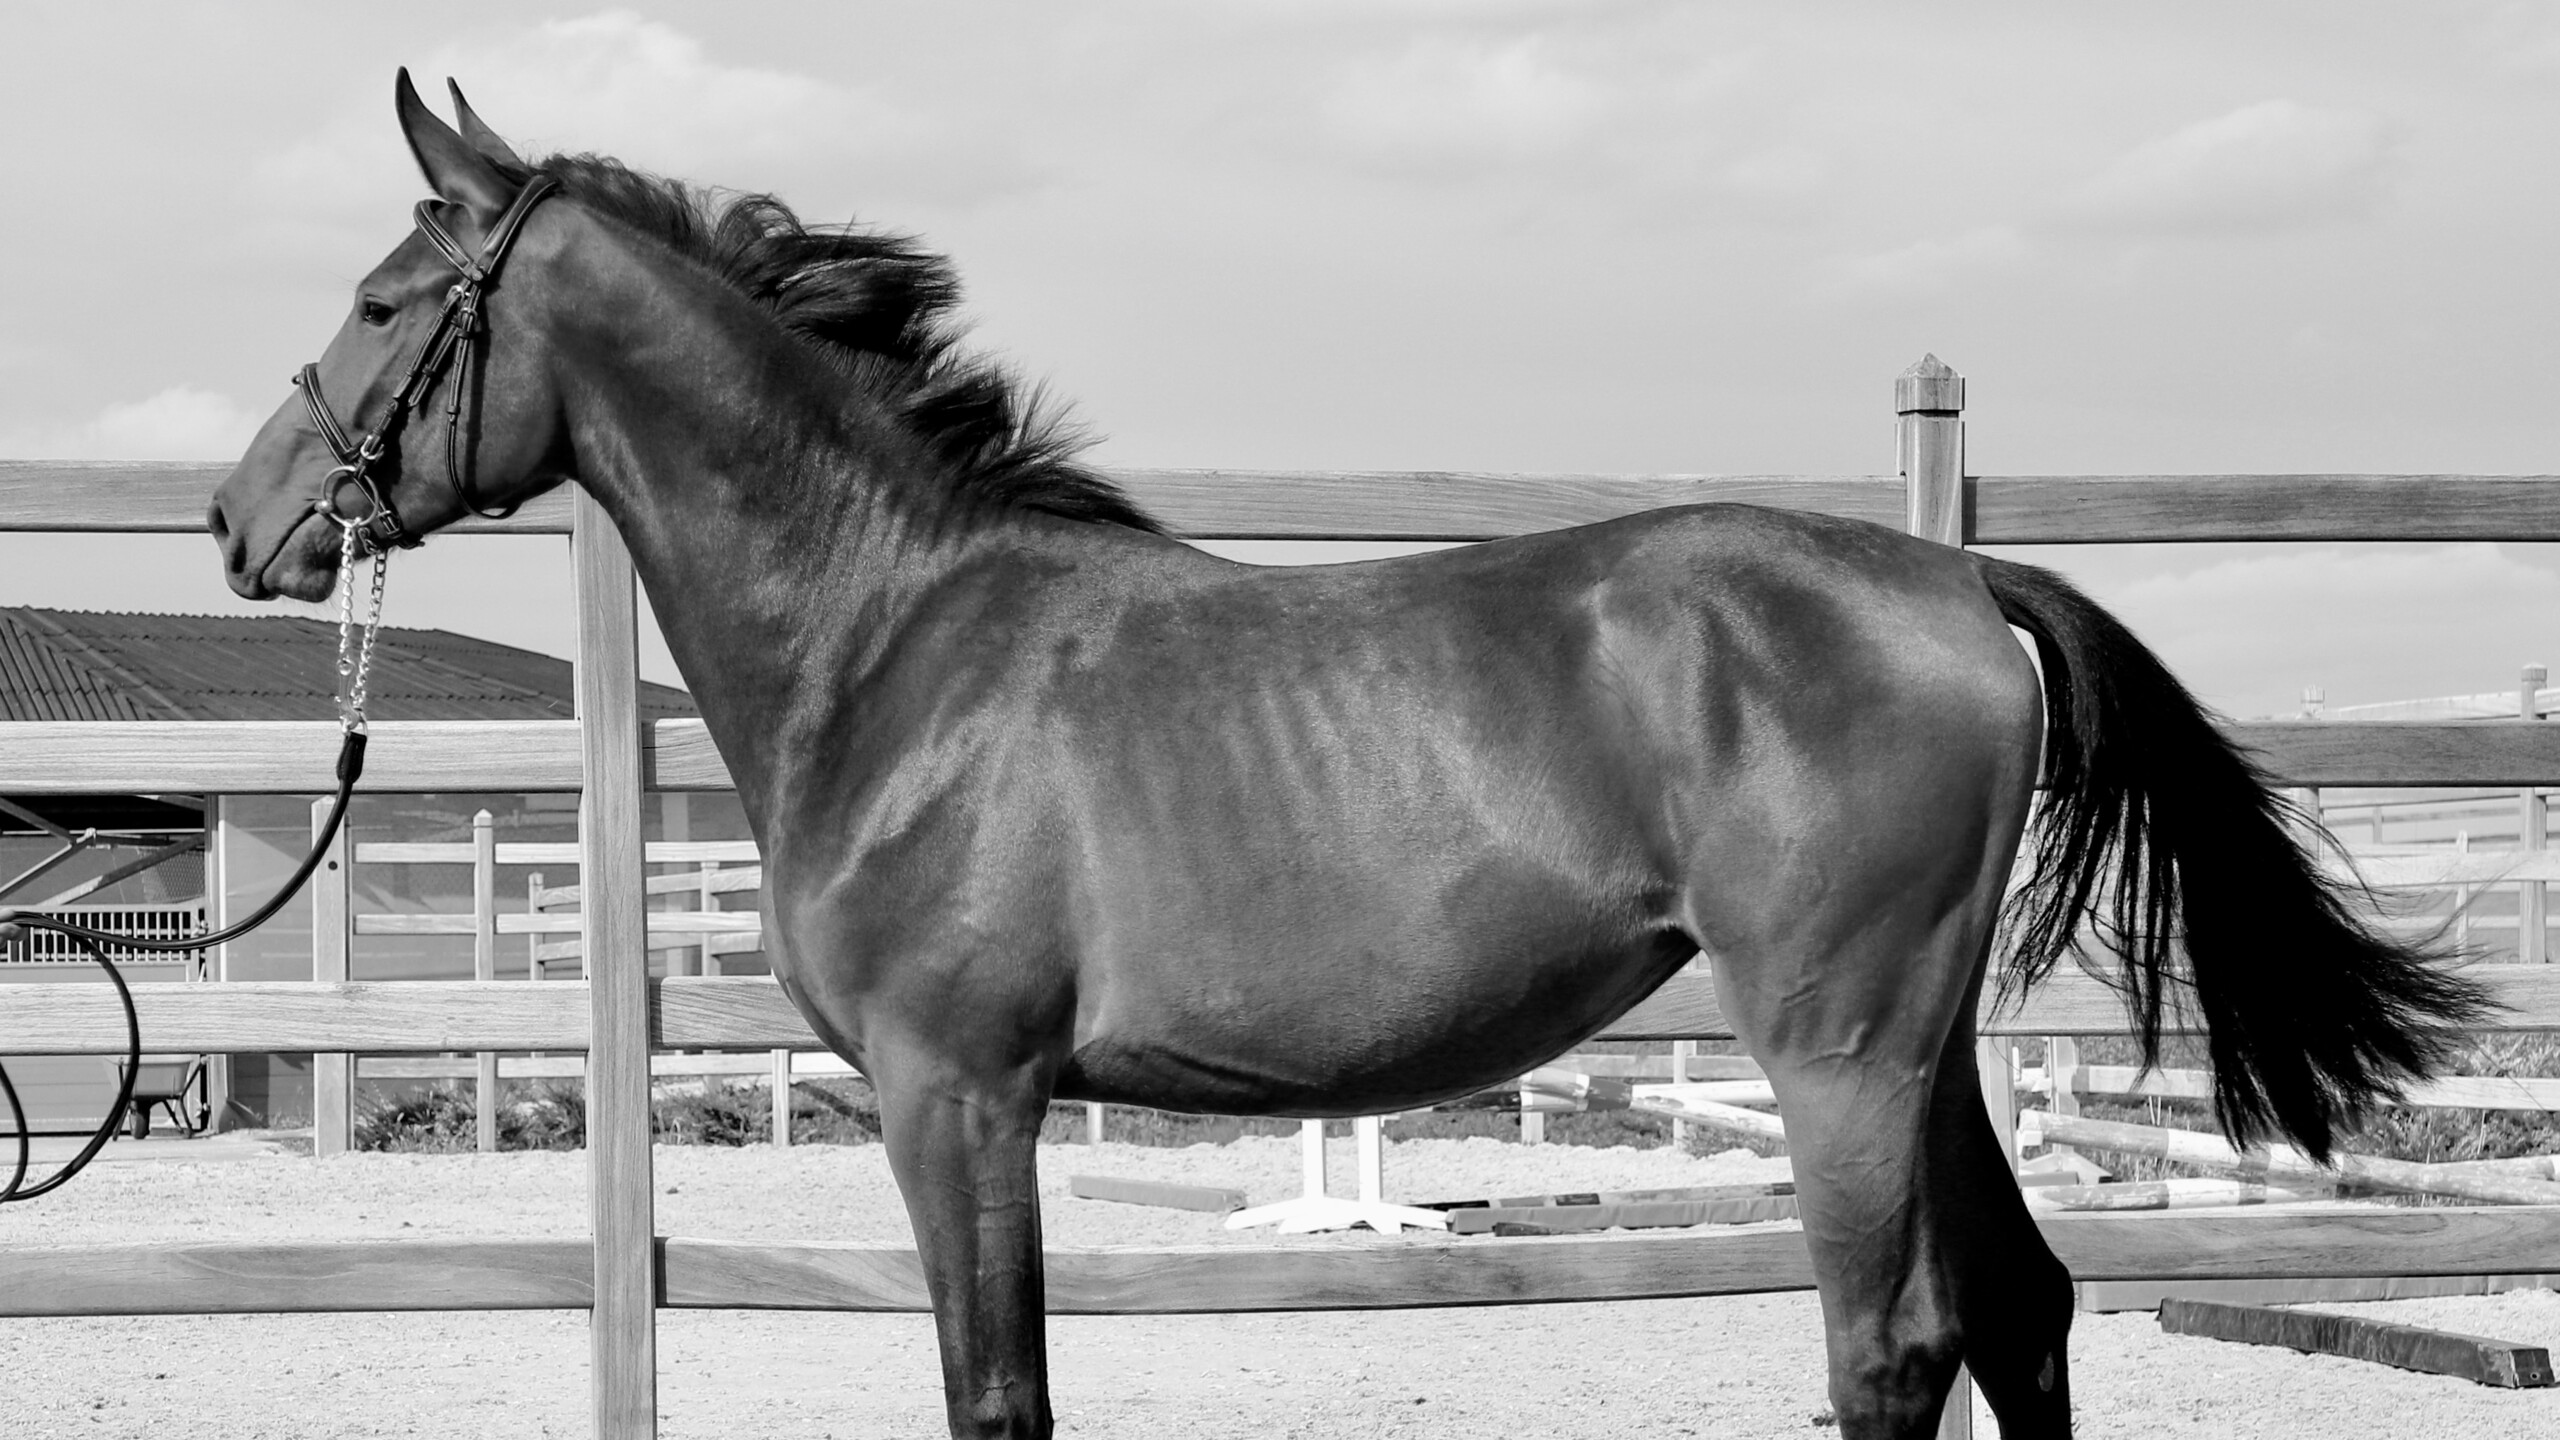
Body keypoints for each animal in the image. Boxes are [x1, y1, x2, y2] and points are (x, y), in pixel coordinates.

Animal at [206, 73, 2490, 1440]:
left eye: (383, 296)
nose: (247, 520)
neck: (901, 636)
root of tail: (1952, 581)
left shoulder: (962, 1098)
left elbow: (996, 1398)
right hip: (1919, 1054)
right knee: (2017, 1314)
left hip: (1839, 1048)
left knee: (1892, 1345)